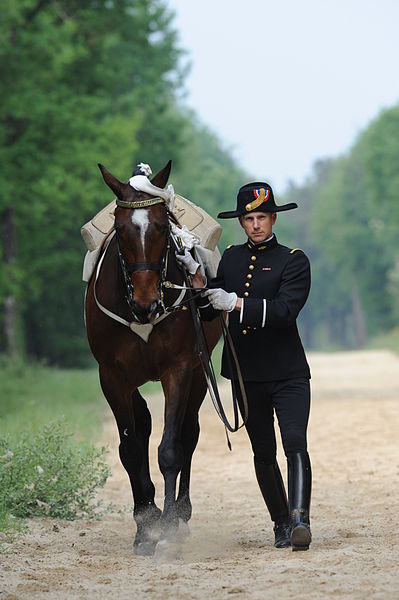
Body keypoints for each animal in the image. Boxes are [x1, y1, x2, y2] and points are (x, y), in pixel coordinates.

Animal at [85, 159, 222, 552]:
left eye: (162, 226)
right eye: (120, 228)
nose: (146, 303)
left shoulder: (179, 367)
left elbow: (170, 448)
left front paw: (169, 529)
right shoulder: (112, 375)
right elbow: (131, 447)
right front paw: (145, 526)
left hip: (198, 371)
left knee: (188, 431)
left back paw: (180, 515)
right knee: (143, 424)